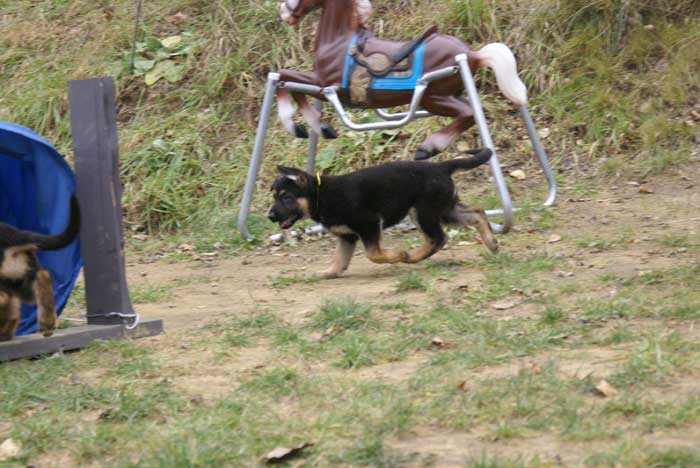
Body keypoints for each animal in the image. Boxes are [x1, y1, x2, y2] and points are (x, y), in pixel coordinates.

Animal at [266, 147, 498, 278]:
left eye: (286, 197)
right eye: (274, 196)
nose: (270, 216)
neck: (320, 195)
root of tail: (441, 166)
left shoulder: (369, 223)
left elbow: (373, 254)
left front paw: (397, 255)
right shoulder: (347, 236)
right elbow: (340, 258)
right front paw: (328, 273)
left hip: (423, 211)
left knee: (438, 238)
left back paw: (411, 256)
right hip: (445, 209)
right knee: (477, 212)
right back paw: (492, 243)